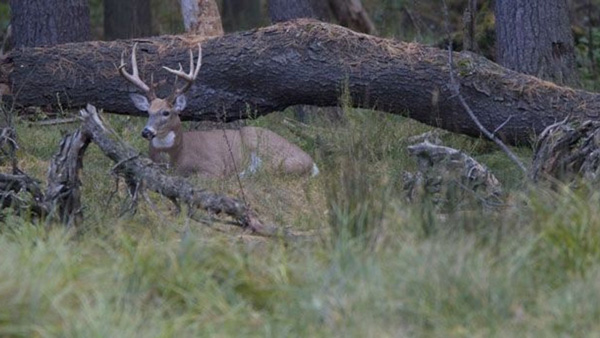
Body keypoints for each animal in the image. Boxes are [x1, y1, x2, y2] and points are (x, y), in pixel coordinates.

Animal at [119, 44, 322, 180]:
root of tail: (312, 162)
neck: (178, 156)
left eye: (166, 112)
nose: (146, 131)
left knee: (271, 170)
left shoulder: (213, 166)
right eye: (148, 112)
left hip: (266, 145)